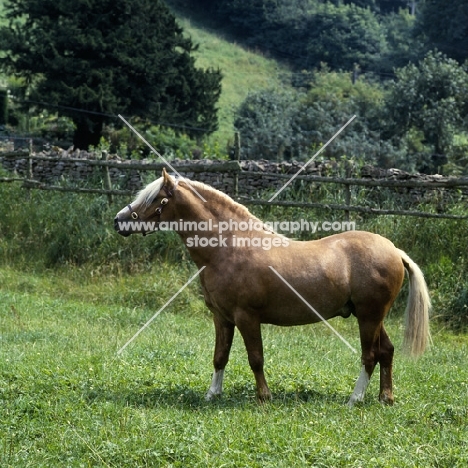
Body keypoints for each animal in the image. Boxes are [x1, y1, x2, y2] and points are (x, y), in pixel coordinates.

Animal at [115, 169, 430, 406]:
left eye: (156, 199)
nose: (119, 221)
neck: (228, 247)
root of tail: (393, 250)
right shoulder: (222, 318)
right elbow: (220, 356)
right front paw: (212, 394)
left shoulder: (247, 317)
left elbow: (256, 359)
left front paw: (264, 397)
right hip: (373, 317)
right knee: (386, 351)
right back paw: (385, 397)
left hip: (369, 317)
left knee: (370, 356)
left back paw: (355, 398)